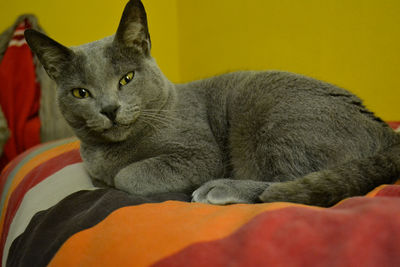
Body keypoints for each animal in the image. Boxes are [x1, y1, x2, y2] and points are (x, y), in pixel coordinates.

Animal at [24, 0, 400, 207]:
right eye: (81, 93)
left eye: (126, 78)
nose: (109, 109)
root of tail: (386, 131)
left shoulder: (200, 153)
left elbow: (127, 175)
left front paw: (116, 179)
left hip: (276, 116)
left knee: (288, 181)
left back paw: (217, 189)